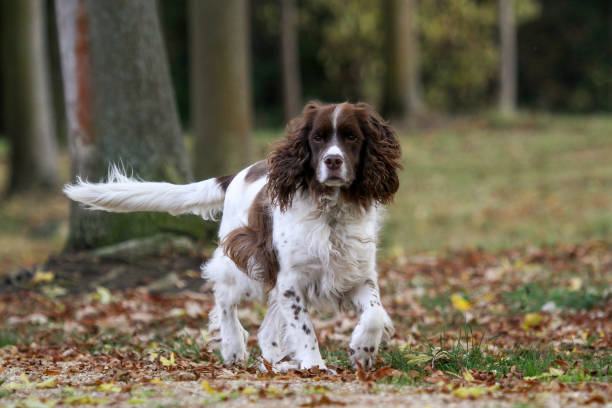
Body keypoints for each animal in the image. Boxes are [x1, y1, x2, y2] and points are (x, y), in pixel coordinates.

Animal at [64, 101, 404, 370]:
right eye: (317, 138)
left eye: (351, 137)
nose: (333, 161)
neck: (330, 213)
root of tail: (236, 175)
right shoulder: (290, 279)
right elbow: (304, 327)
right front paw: (314, 365)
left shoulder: (356, 275)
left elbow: (374, 313)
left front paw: (363, 350)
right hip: (245, 264)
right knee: (224, 298)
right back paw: (233, 348)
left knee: (265, 329)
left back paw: (275, 363)